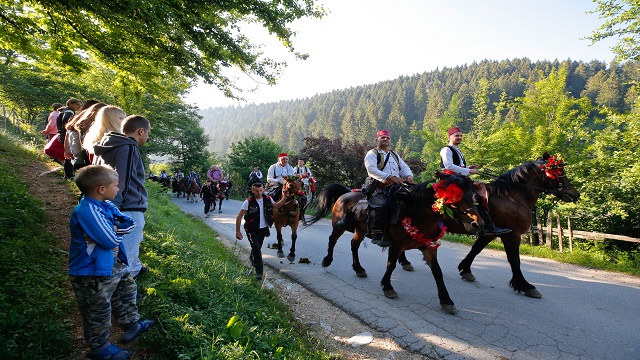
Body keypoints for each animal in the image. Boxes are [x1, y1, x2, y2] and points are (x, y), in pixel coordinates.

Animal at [304, 173, 480, 314]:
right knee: (332, 240)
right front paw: (388, 287)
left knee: (354, 245)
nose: (477, 224)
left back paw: (359, 268)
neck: (414, 212)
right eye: (455, 195)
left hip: (360, 230)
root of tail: (346, 193)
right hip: (338, 226)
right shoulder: (396, 246)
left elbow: (437, 271)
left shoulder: (428, 248)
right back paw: (327, 261)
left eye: (472, 195)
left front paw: (446, 300)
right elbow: (391, 265)